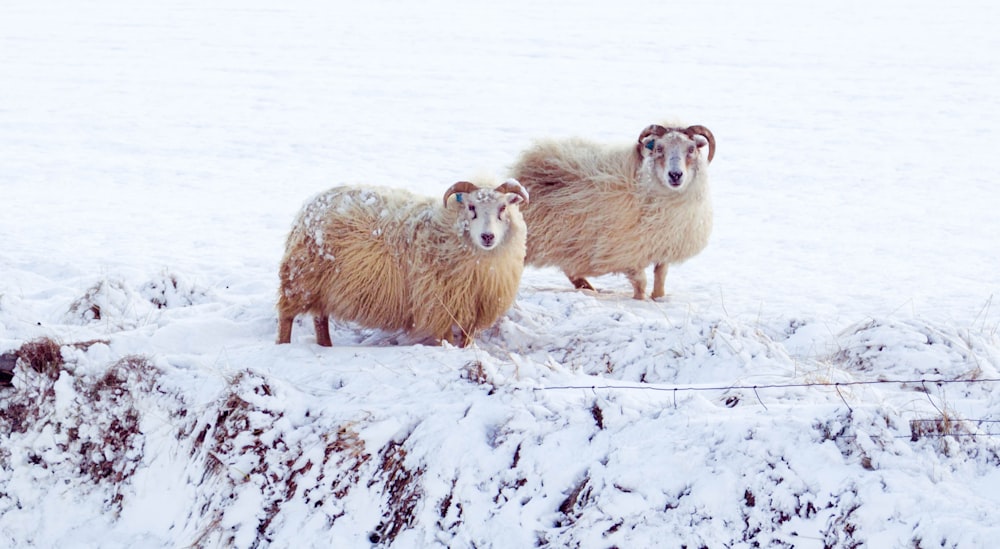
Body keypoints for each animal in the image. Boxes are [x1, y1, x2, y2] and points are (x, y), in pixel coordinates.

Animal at [270, 178, 528, 344]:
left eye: (503, 208)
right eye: (471, 207)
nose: (487, 236)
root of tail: (309, 205)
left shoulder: (472, 306)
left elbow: (466, 341)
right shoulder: (439, 306)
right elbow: (445, 338)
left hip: (321, 284)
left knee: (320, 318)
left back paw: (326, 345)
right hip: (302, 276)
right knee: (286, 315)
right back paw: (284, 345)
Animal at [512, 122, 716, 300]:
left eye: (691, 149)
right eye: (659, 148)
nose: (675, 175)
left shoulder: (664, 244)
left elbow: (660, 277)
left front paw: (658, 298)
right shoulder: (627, 251)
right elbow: (641, 282)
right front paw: (640, 300)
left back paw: (588, 288)